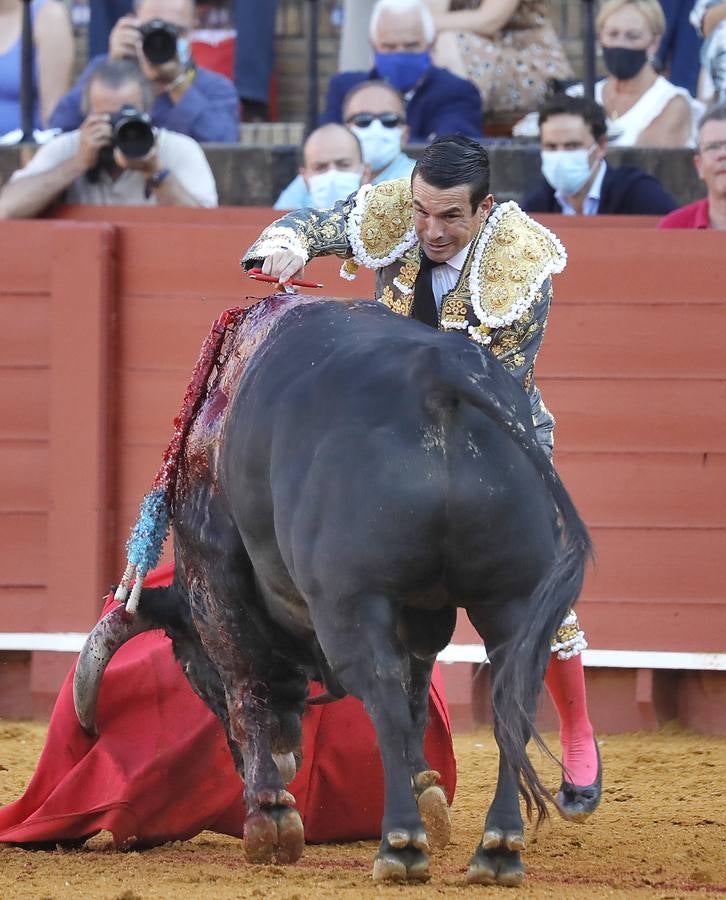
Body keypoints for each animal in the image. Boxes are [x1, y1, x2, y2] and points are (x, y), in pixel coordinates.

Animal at [77, 298, 596, 884]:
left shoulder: (215, 578)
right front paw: (426, 788)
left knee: (382, 691)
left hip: (351, 601)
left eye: (189, 671)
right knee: (510, 698)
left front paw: (269, 817)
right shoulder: (423, 613)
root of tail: (435, 377)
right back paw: (497, 847)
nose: (288, 760)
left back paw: (400, 845)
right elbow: (419, 693)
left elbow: (245, 685)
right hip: (512, 599)